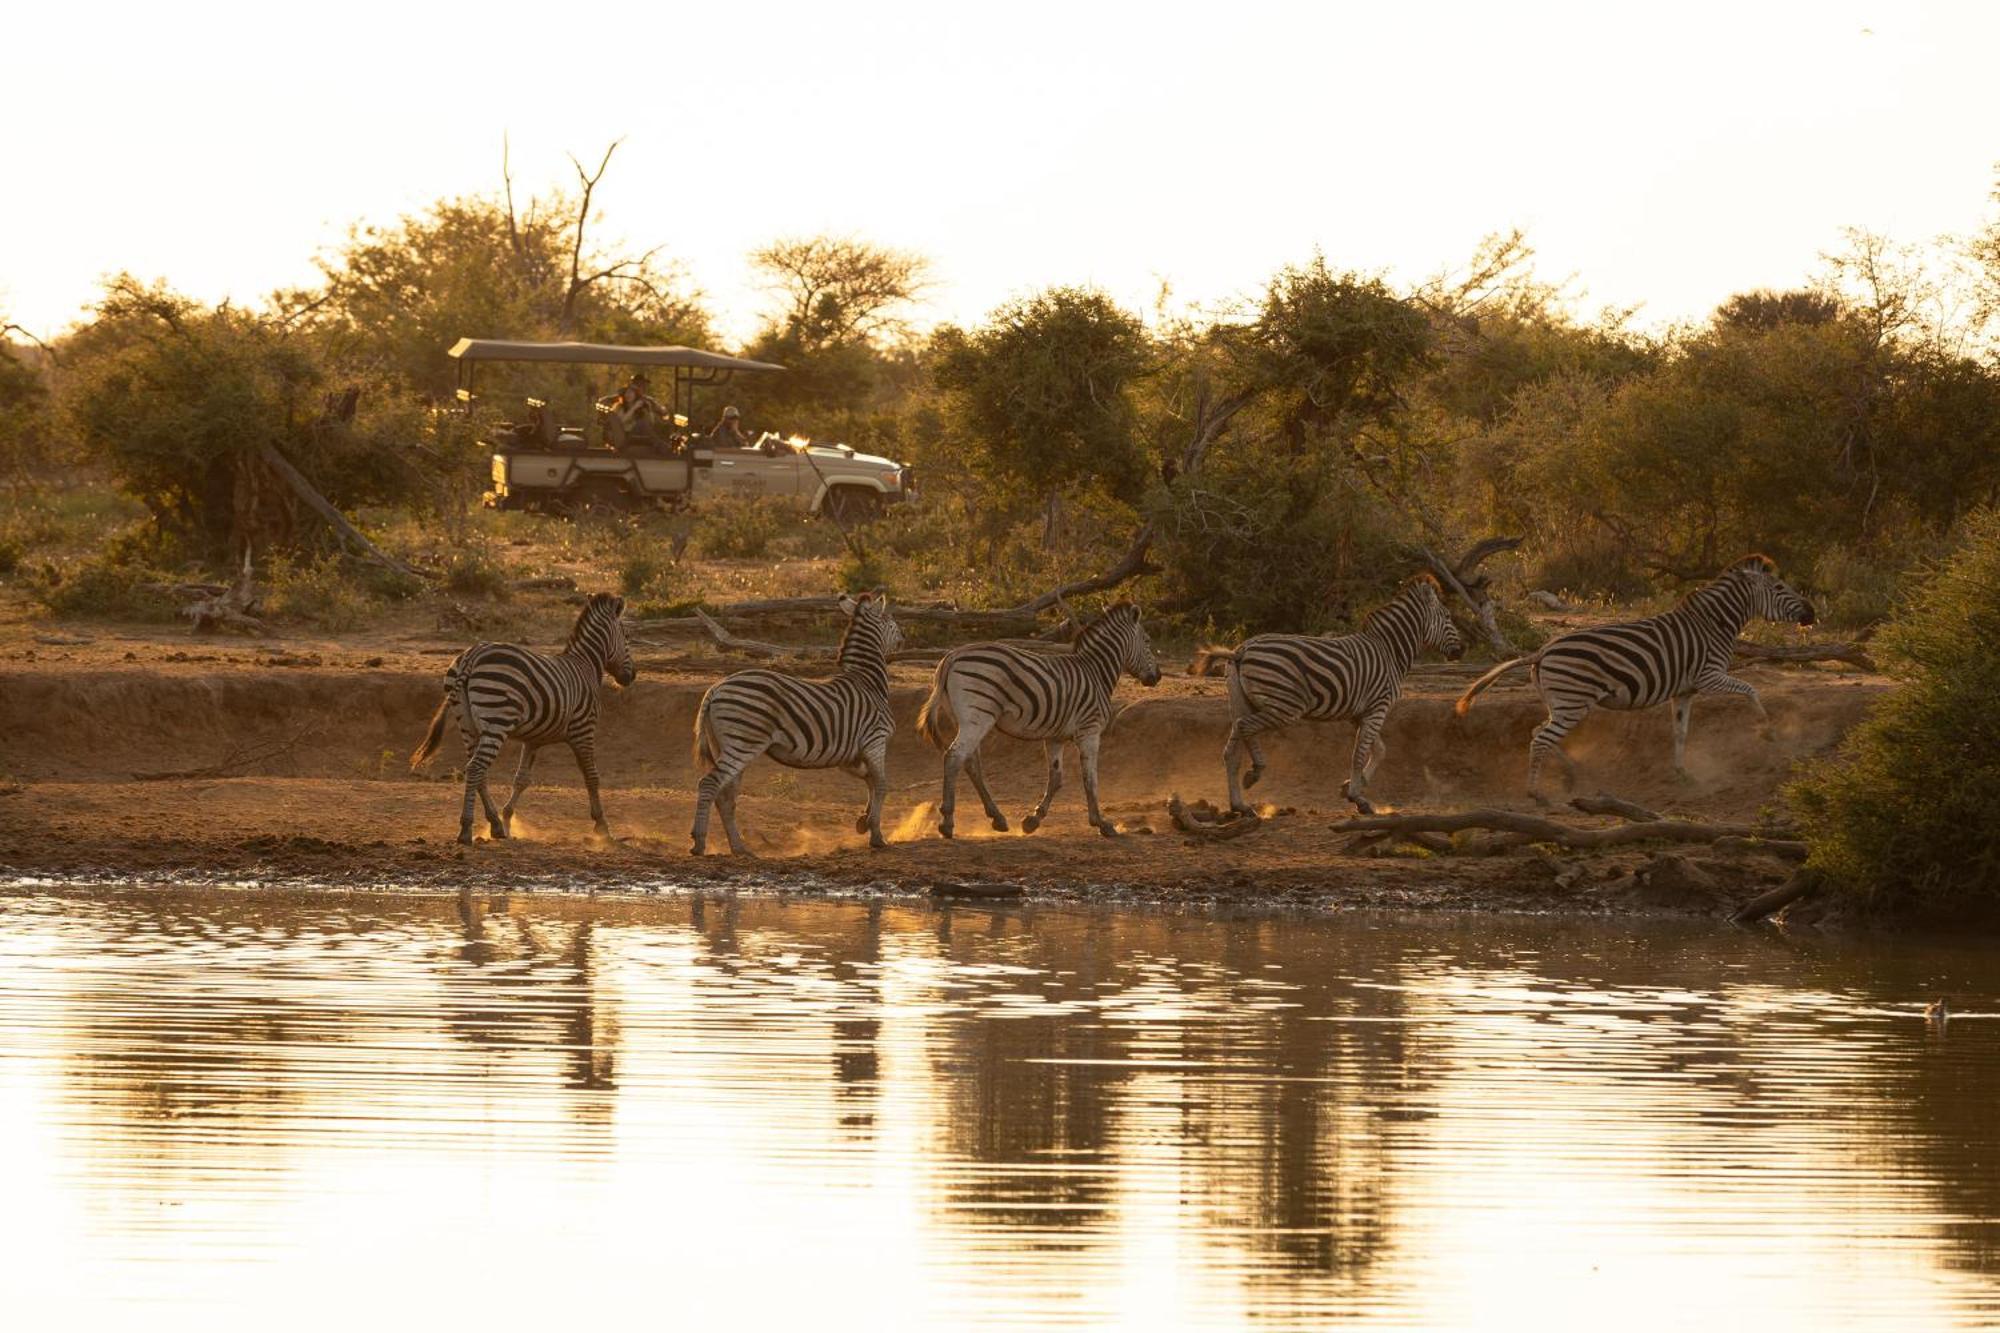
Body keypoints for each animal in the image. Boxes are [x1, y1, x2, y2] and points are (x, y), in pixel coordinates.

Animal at [414, 588, 640, 840]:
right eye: (627, 637)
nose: (632, 676)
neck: (586, 666)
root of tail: (473, 654)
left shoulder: (533, 739)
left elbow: (521, 779)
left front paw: (507, 817)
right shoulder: (584, 730)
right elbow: (592, 776)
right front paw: (602, 827)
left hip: (467, 723)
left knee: (478, 770)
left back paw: (495, 824)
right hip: (497, 719)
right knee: (475, 768)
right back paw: (466, 829)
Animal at [692, 588, 904, 856]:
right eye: (891, 621)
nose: (904, 639)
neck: (867, 681)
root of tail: (715, 689)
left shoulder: (848, 755)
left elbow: (870, 780)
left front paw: (863, 822)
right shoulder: (875, 739)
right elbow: (882, 783)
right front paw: (876, 835)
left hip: (727, 744)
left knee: (725, 795)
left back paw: (739, 847)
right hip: (743, 742)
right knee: (709, 784)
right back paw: (699, 842)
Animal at [916, 600, 1168, 836]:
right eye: (1147, 641)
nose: (1157, 677)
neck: (1096, 672)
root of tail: (952, 655)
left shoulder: (1055, 736)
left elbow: (1056, 778)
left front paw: (1032, 820)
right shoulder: (1090, 730)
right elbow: (1090, 778)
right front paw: (1101, 823)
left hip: (967, 718)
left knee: (970, 762)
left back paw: (997, 818)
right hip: (978, 716)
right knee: (954, 757)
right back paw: (947, 822)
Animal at [1184, 572, 1472, 808]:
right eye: (1448, 617)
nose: (1462, 650)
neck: (1389, 651)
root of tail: (1240, 650)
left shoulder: (1359, 713)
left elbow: (1378, 750)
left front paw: (1352, 785)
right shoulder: (1378, 707)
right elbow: (1360, 753)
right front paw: (1358, 797)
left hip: (1243, 700)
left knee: (1233, 745)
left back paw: (1240, 804)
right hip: (1285, 705)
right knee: (1245, 727)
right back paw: (1255, 772)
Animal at [1456, 552, 1816, 800]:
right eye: (1780, 587)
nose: (1811, 613)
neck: (1714, 624)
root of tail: (1542, 650)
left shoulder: (1685, 690)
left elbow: (1680, 732)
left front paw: (1682, 774)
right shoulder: (1709, 676)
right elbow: (1751, 689)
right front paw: (1768, 731)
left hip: (1559, 702)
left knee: (1537, 732)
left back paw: (1571, 774)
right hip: (1573, 702)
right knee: (1542, 738)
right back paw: (1536, 793)